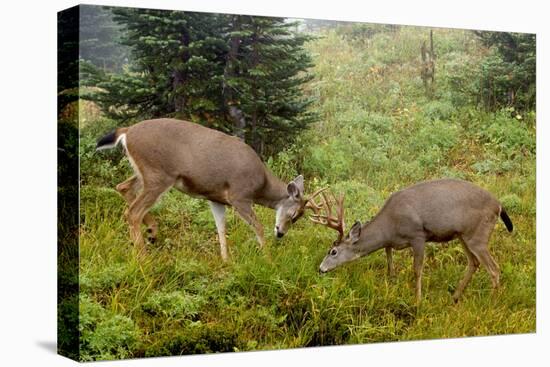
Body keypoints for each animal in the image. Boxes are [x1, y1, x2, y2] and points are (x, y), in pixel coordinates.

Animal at [310, 180, 516, 304]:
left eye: (333, 251)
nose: (320, 269)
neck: (389, 227)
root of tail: (498, 205)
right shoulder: (392, 243)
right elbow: (389, 259)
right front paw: (392, 281)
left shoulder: (418, 236)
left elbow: (417, 270)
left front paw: (417, 300)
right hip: (463, 235)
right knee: (474, 263)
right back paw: (455, 297)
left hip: (478, 235)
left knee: (494, 268)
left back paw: (492, 302)